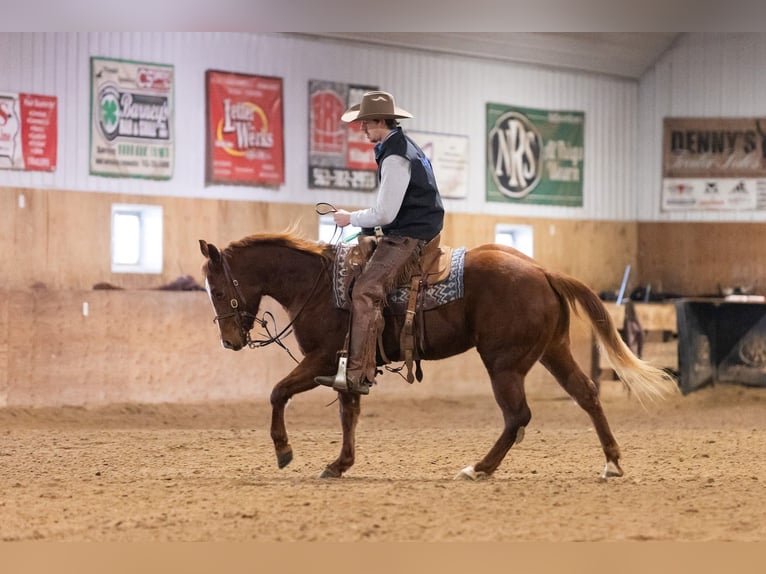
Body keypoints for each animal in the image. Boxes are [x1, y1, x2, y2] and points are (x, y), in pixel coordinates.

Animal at [199, 231, 675, 480]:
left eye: (218, 289)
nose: (230, 341)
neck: (316, 286)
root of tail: (544, 271)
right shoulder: (347, 366)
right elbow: (348, 412)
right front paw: (340, 464)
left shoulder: (322, 359)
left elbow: (278, 393)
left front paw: (284, 450)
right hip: (552, 351)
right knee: (587, 394)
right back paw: (612, 462)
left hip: (503, 363)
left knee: (518, 416)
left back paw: (479, 468)